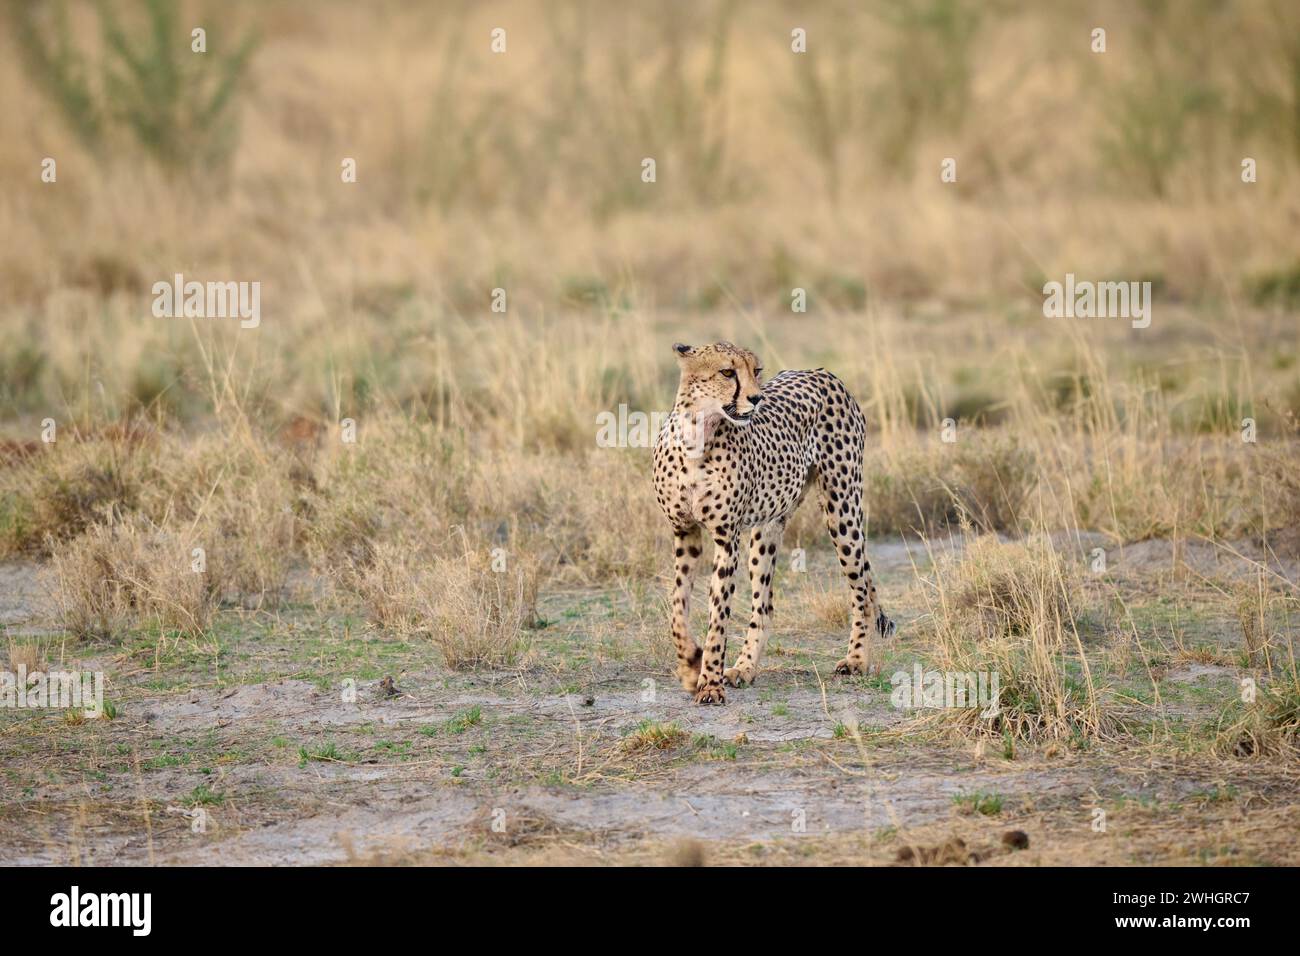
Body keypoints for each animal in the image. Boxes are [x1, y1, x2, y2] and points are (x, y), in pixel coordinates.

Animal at [650, 343, 894, 702]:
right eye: (727, 372)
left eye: (756, 371)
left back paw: (857, 660)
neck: (697, 434)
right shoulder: (685, 533)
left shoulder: (726, 538)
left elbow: (717, 616)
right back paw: (744, 667)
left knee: (860, 586)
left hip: (842, 507)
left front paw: (709, 682)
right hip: (767, 529)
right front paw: (690, 664)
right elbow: (676, 609)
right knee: (764, 606)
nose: (756, 398)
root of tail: (820, 372)